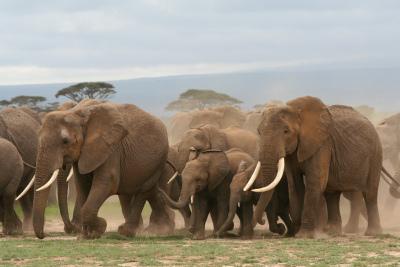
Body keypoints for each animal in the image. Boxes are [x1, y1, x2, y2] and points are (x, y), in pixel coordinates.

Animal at [29, 99, 170, 240]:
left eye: (65, 141)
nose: (44, 235)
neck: (76, 112)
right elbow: (82, 184)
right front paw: (86, 235)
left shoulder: (111, 148)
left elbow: (106, 182)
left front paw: (99, 228)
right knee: (126, 194)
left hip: (157, 163)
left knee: (143, 191)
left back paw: (126, 232)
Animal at [245, 97, 382, 239]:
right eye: (259, 131)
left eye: (286, 131)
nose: (279, 226)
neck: (296, 110)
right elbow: (295, 185)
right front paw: (296, 233)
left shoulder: (322, 144)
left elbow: (314, 182)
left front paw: (304, 235)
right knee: (331, 194)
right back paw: (333, 232)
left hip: (375, 154)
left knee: (370, 193)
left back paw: (373, 233)